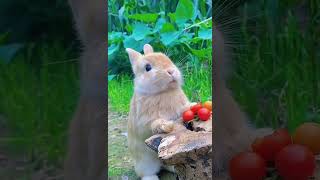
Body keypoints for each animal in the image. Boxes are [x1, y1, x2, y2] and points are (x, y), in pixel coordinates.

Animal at [125, 44, 198, 180]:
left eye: (168, 58)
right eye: (147, 67)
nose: (171, 71)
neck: (164, 92)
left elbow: (184, 109)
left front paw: (194, 105)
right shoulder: (143, 123)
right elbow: (153, 124)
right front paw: (165, 126)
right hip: (146, 162)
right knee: (146, 173)